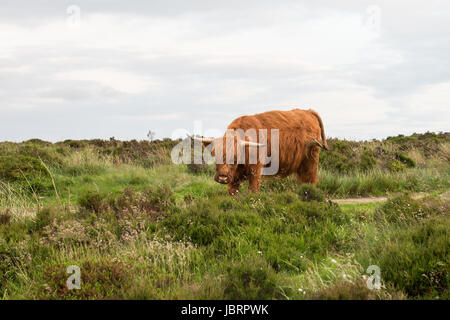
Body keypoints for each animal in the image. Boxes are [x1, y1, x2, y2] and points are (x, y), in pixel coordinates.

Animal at [190, 108, 326, 195]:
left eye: (235, 158)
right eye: (216, 157)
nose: (223, 178)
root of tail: (308, 111)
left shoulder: (256, 170)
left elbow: (253, 190)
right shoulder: (234, 177)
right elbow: (232, 191)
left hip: (311, 160)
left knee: (310, 179)